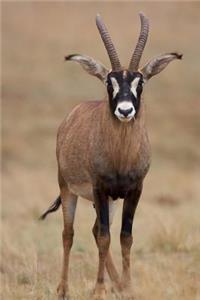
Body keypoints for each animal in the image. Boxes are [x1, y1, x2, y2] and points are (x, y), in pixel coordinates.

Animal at [39, 11, 182, 300]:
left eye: (141, 81)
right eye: (109, 81)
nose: (125, 110)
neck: (121, 158)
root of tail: (71, 116)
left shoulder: (134, 190)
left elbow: (125, 236)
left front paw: (128, 286)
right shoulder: (99, 189)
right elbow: (105, 237)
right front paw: (99, 290)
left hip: (111, 200)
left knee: (95, 229)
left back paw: (116, 283)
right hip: (69, 190)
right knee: (69, 233)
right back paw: (63, 288)